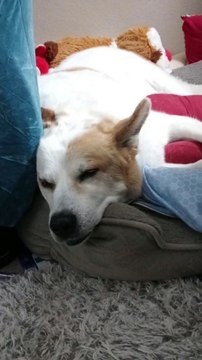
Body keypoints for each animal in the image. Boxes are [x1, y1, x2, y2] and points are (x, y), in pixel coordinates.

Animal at [36, 45, 202, 245]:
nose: (60, 224)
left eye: (89, 173)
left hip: (165, 83)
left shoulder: (171, 123)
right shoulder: (154, 166)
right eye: (45, 183)